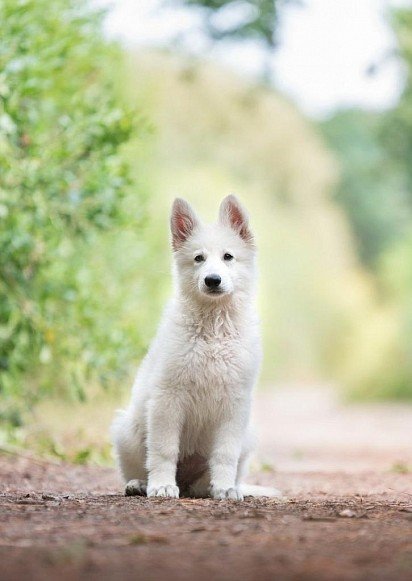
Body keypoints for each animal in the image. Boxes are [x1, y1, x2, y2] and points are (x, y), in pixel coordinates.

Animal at [111, 195, 282, 498]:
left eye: (228, 256)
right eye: (198, 258)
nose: (212, 280)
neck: (214, 328)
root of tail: (187, 483)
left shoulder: (235, 403)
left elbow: (225, 454)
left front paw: (225, 489)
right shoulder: (167, 398)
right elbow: (163, 450)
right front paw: (162, 486)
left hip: (249, 435)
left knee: (208, 478)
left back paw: (215, 488)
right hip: (126, 431)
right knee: (141, 465)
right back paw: (141, 484)